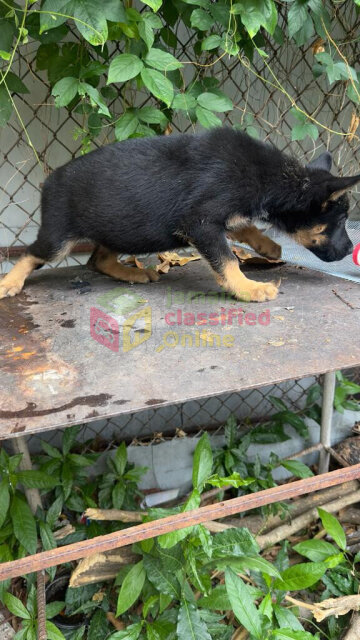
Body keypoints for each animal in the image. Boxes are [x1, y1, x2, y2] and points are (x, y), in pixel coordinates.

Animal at [1, 129, 358, 304]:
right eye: (340, 223)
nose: (348, 250)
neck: (270, 177)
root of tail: (49, 181)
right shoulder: (200, 223)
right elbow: (227, 259)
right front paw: (248, 288)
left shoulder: (219, 216)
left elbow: (242, 225)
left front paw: (267, 246)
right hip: (59, 237)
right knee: (33, 254)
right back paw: (10, 282)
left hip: (119, 228)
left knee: (97, 260)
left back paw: (132, 274)